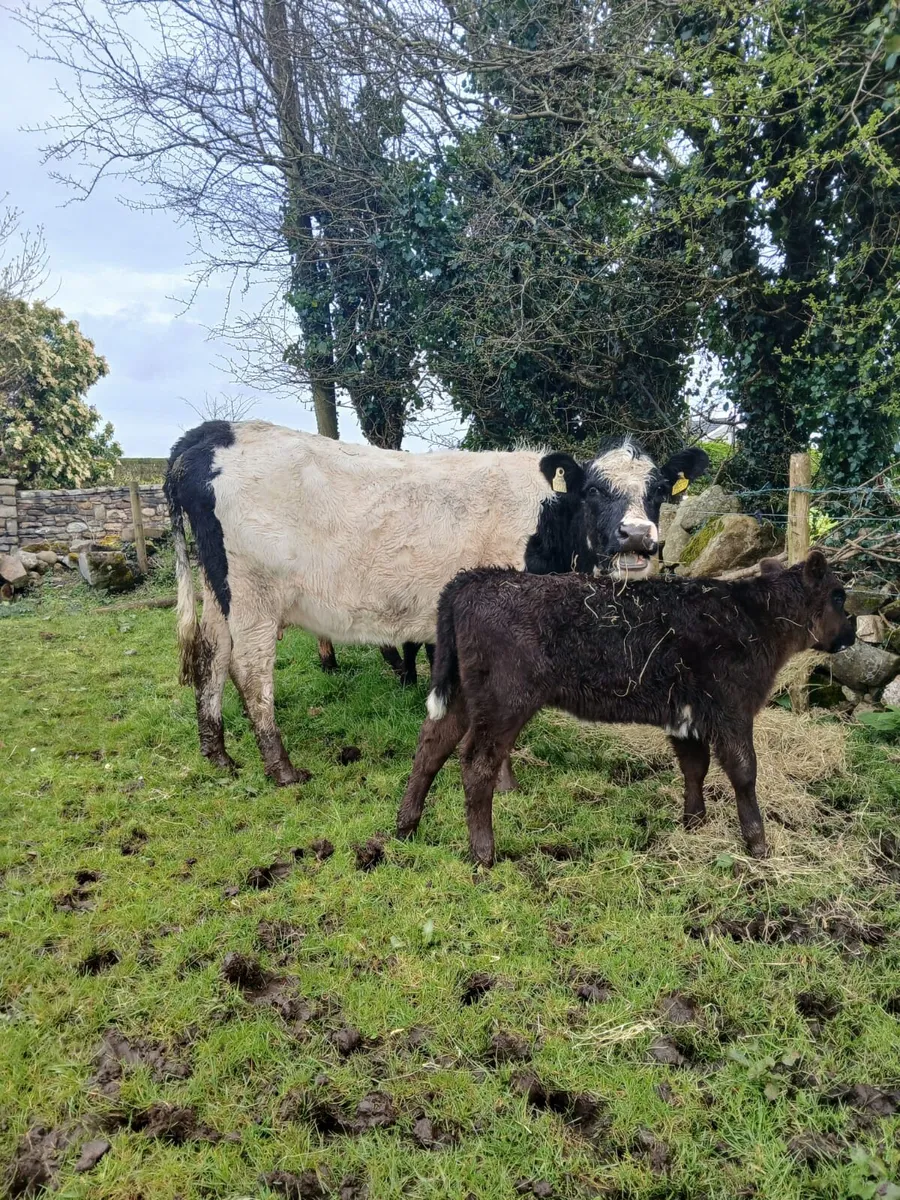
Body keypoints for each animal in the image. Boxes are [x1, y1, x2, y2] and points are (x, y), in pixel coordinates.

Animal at [165, 420, 708, 783]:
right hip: (253, 593)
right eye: (594, 489)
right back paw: (281, 768)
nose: (638, 536)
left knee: (211, 656)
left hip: (219, 591)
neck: (545, 522)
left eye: (660, 489)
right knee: (249, 669)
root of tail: (215, 432)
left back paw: (218, 754)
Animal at [396, 552, 855, 866]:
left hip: (462, 695)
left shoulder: (686, 714)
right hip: (504, 700)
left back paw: (406, 827)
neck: (755, 618)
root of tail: (475, 578)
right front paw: (758, 844)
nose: (851, 632)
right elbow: (744, 773)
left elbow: (695, 767)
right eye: (839, 595)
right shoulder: (731, 709)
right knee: (476, 763)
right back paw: (483, 853)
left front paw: (694, 822)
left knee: (431, 746)